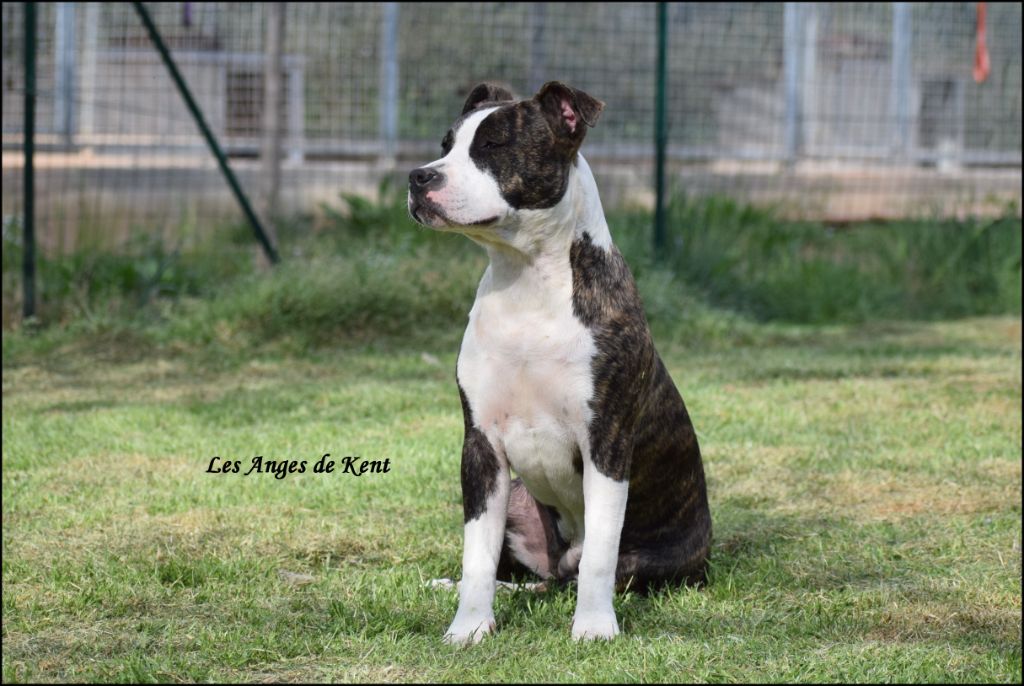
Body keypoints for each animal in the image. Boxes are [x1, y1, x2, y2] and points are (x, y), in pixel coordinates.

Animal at [408, 81, 711, 644]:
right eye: (445, 145)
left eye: (494, 146)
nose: (419, 177)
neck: (525, 280)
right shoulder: (481, 447)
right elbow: (476, 556)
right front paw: (469, 628)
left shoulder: (605, 444)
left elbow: (599, 557)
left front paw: (593, 628)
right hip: (517, 499)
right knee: (528, 576)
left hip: (647, 558)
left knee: (578, 571)